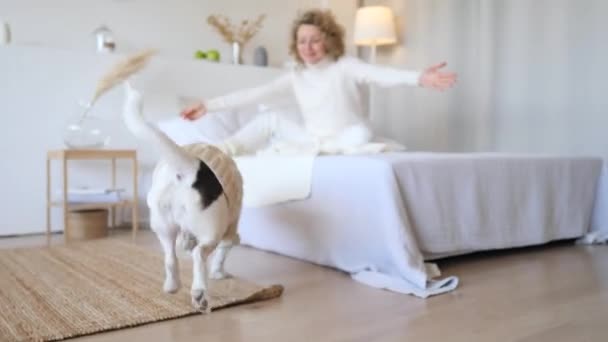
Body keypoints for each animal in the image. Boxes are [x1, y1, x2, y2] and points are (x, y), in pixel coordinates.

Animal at [121, 83, 242, 312]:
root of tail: (190, 167)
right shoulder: (230, 228)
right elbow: (222, 253)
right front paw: (219, 273)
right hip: (212, 230)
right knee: (199, 255)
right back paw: (199, 293)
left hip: (163, 226)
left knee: (170, 257)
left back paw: (172, 286)